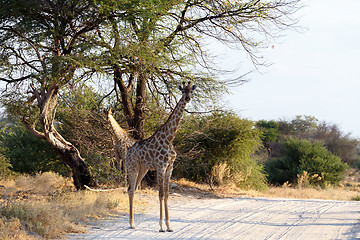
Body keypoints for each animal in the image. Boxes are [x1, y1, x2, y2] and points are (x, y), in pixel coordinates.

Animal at [125, 81, 195, 232]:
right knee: (130, 190)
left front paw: (169, 226)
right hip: (132, 167)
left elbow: (167, 194)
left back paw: (133, 223)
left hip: (143, 169)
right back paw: (131, 223)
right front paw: (162, 226)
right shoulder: (160, 167)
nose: (187, 98)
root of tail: (128, 151)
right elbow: (161, 194)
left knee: (133, 189)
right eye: (182, 91)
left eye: (191, 91)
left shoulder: (170, 167)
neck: (169, 138)